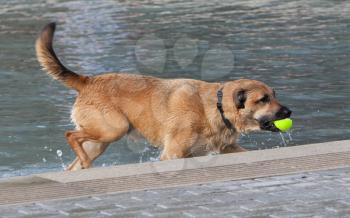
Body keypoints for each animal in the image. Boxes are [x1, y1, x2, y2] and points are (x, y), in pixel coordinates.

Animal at [36, 22, 292, 170]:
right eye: (263, 99)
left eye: (274, 95)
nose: (289, 111)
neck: (216, 107)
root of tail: (88, 80)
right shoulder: (173, 154)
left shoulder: (227, 149)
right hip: (113, 128)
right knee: (71, 135)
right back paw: (86, 162)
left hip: (100, 141)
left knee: (75, 158)